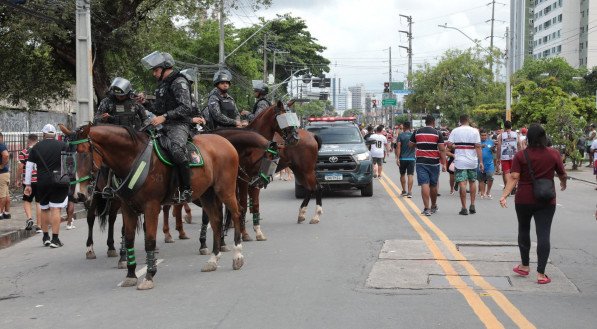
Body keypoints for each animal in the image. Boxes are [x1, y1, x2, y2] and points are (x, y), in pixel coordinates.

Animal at [69, 123, 244, 290]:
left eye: (85, 153)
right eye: (72, 157)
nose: (79, 194)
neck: (134, 158)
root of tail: (225, 142)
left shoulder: (151, 207)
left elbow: (150, 241)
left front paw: (149, 276)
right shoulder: (127, 208)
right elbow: (129, 239)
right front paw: (130, 274)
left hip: (225, 190)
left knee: (236, 214)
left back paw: (237, 255)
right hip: (206, 194)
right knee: (216, 221)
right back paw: (213, 259)